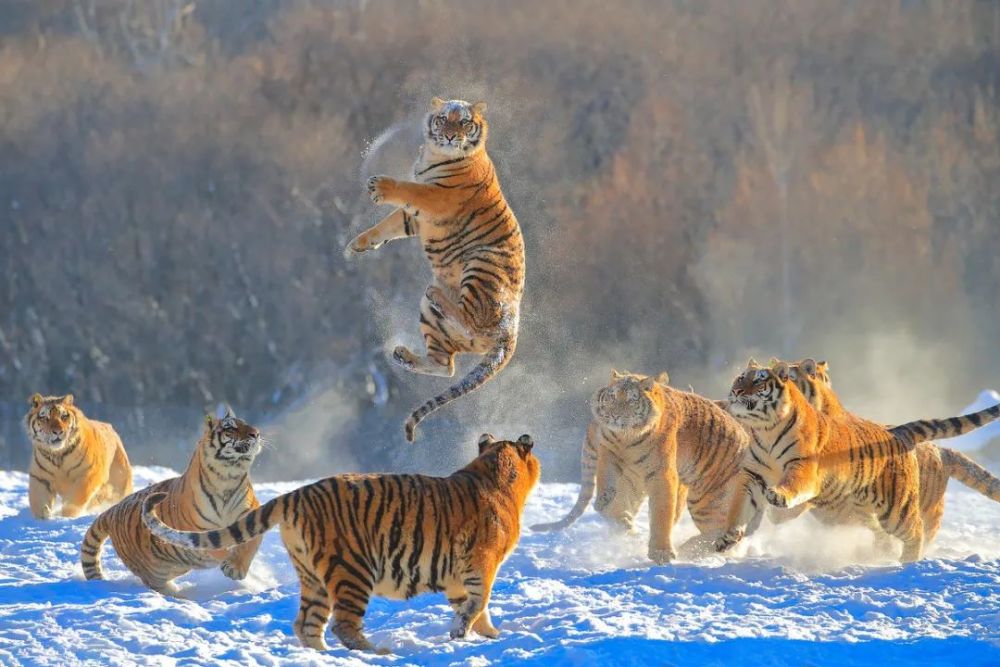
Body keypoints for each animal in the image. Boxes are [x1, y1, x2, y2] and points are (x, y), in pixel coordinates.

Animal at [80, 408, 263, 595]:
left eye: (245, 423)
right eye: (230, 428)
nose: (256, 433)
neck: (228, 477)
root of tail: (112, 511)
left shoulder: (250, 512)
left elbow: (250, 544)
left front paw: (237, 567)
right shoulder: (198, 533)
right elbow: (219, 546)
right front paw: (237, 568)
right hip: (154, 573)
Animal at [140, 433, 540, 653]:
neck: (493, 472)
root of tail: (298, 493)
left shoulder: (459, 575)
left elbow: (470, 606)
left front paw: (484, 634)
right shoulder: (481, 564)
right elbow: (480, 601)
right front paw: (471, 630)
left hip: (313, 577)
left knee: (307, 624)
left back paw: (321, 654)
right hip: (353, 569)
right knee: (343, 625)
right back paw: (377, 652)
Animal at [347, 97, 525, 442]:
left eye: (465, 122)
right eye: (444, 119)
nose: (452, 136)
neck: (434, 155)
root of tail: (511, 333)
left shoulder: (435, 198)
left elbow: (409, 189)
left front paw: (379, 186)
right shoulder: (413, 218)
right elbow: (385, 226)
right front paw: (356, 246)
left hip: (481, 267)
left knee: (471, 324)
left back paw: (437, 296)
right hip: (432, 321)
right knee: (447, 365)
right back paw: (403, 355)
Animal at [531, 370, 762, 563]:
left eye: (631, 399)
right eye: (612, 396)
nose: (615, 415)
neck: (627, 438)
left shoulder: (663, 474)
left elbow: (662, 513)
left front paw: (661, 554)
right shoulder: (609, 452)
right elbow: (606, 481)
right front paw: (606, 503)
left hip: (711, 504)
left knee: (726, 534)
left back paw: (686, 549)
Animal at [716, 359, 1000, 562]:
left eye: (759, 382)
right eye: (741, 377)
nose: (737, 390)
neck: (766, 429)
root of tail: (899, 432)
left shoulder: (804, 468)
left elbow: (791, 487)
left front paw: (778, 498)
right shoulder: (752, 476)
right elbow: (738, 507)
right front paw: (727, 537)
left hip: (896, 509)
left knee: (916, 529)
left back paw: (908, 562)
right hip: (867, 510)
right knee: (883, 536)